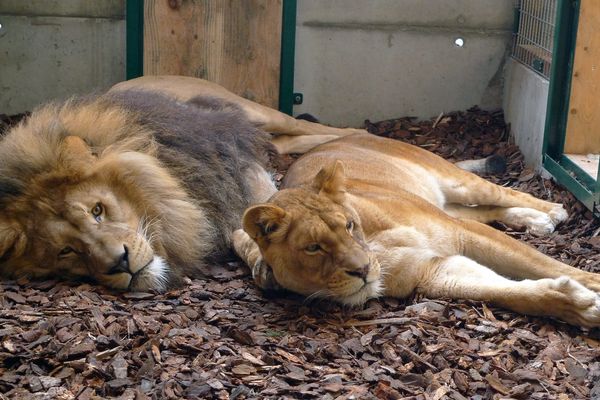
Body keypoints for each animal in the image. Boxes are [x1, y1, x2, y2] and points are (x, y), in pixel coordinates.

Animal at [0, 75, 360, 290]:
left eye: (97, 210)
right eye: (65, 251)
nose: (119, 263)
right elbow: (243, 233)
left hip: (251, 111)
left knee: (311, 126)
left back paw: (358, 133)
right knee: (294, 140)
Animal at [237, 133, 600, 326]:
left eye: (349, 225)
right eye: (313, 247)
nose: (362, 270)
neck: (375, 245)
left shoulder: (460, 233)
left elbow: (544, 264)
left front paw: (592, 284)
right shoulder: (434, 270)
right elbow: (503, 290)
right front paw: (577, 306)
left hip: (454, 181)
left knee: (500, 194)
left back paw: (551, 211)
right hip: (442, 202)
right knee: (485, 209)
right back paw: (535, 220)